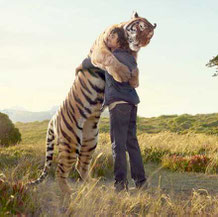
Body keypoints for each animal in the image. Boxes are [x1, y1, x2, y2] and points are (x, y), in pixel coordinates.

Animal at [27, 12, 157, 195]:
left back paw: (94, 185)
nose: (141, 42)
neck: (125, 44)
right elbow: (110, 59)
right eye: (140, 27)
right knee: (61, 170)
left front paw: (134, 79)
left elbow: (136, 67)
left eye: (150, 35)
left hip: (90, 140)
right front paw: (123, 74)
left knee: (80, 166)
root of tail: (53, 118)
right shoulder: (99, 50)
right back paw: (69, 193)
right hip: (71, 142)